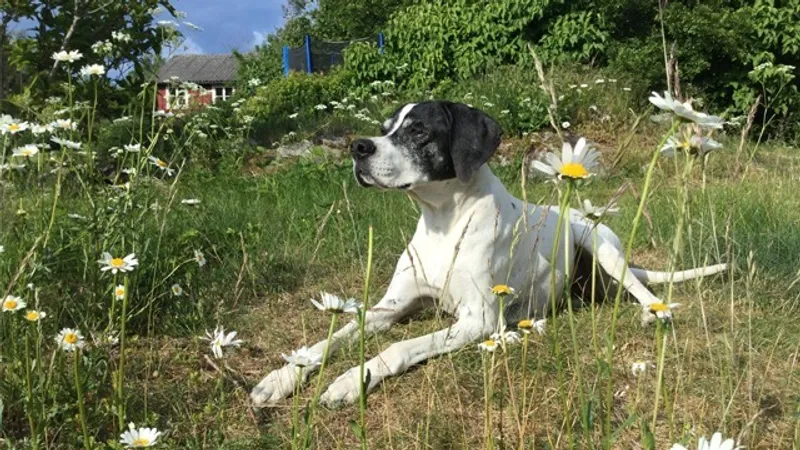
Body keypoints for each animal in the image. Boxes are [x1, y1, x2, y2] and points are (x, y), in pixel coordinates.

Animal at [252, 102, 732, 408]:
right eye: (386, 127)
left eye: (418, 130)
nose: (358, 147)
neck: (443, 222)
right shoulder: (389, 307)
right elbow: (329, 339)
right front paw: (282, 377)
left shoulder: (479, 320)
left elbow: (399, 347)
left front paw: (350, 381)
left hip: (601, 242)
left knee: (640, 288)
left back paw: (653, 312)